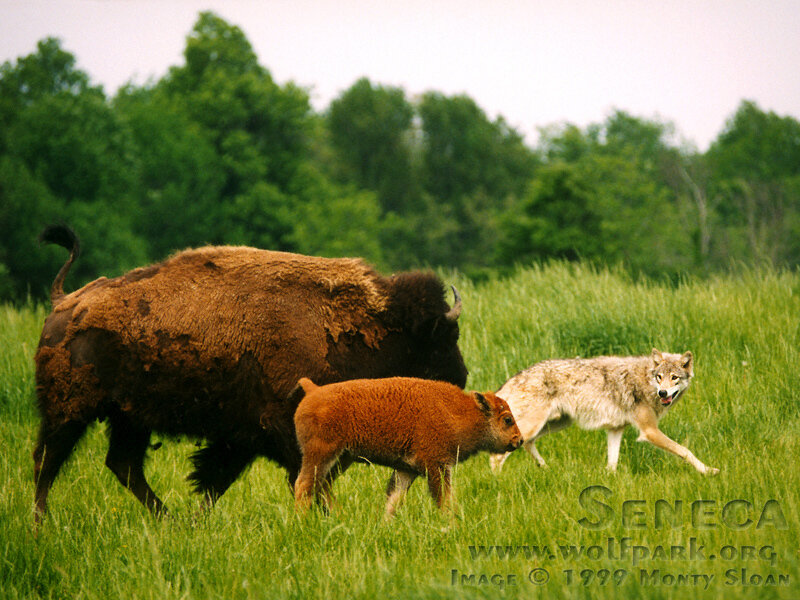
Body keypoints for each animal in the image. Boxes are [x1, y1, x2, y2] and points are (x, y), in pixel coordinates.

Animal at [33, 225, 468, 523]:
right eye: (443, 339)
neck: (368, 326)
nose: (462, 377)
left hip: (129, 418)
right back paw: (41, 525)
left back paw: (167, 520)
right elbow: (310, 479)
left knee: (123, 465)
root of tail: (66, 302)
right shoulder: (291, 434)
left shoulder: (244, 437)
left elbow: (215, 480)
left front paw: (198, 521)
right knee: (47, 462)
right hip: (68, 412)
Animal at [293, 377, 522, 517]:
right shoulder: (437, 466)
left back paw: (339, 515)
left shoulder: (407, 470)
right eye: (507, 419)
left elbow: (394, 499)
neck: (458, 411)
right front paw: (451, 522)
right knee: (304, 485)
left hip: (343, 458)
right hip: (321, 454)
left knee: (322, 485)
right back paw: (303, 521)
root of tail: (313, 391)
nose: (518, 440)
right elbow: (443, 498)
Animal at [488, 349, 719, 475]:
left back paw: (545, 468)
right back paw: (498, 481)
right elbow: (685, 450)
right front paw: (709, 471)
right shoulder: (649, 431)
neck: (645, 380)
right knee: (497, 456)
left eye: (674, 378)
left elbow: (612, 463)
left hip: (554, 424)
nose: (663, 393)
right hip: (536, 425)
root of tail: (514, 378)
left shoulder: (615, 430)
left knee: (527, 444)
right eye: (659, 377)